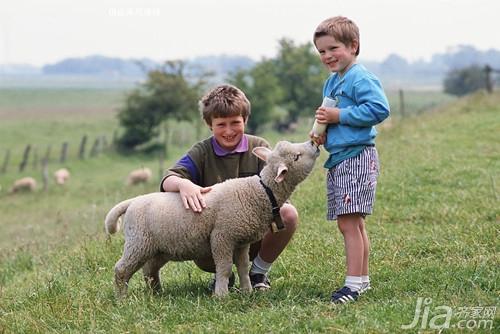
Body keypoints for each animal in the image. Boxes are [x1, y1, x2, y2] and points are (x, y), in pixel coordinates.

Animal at [104, 140, 320, 298]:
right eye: (297, 157)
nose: (313, 143)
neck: (260, 191)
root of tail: (132, 202)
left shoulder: (241, 241)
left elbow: (242, 267)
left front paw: (247, 291)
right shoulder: (222, 236)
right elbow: (224, 268)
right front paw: (222, 296)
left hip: (159, 248)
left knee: (149, 270)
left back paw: (156, 293)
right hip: (138, 242)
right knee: (121, 270)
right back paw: (122, 298)